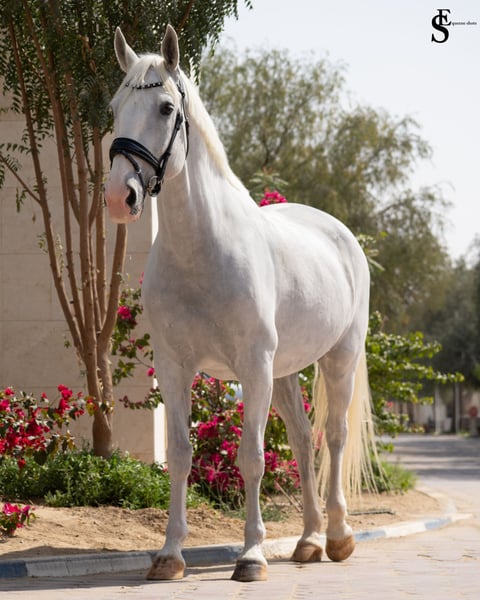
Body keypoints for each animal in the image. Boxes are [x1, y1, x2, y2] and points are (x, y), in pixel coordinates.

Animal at [104, 25, 375, 583]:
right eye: (115, 107)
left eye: (166, 107)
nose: (121, 196)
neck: (203, 252)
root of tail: (342, 235)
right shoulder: (175, 367)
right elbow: (180, 455)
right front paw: (170, 555)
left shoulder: (252, 367)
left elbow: (252, 458)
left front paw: (250, 556)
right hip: (285, 371)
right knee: (302, 439)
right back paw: (308, 541)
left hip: (338, 357)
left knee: (335, 437)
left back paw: (338, 537)